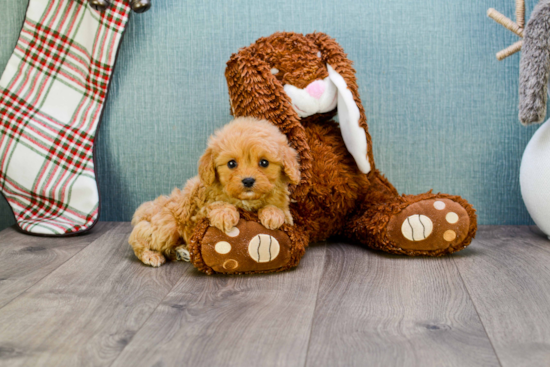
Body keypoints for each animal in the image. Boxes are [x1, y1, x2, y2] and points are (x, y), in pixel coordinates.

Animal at [128, 117, 302, 268]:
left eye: (264, 163)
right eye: (231, 164)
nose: (248, 181)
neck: (247, 201)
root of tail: (146, 210)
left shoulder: (287, 213)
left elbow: (278, 209)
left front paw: (272, 214)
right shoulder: (201, 210)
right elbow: (216, 204)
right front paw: (225, 214)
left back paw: (182, 251)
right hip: (167, 225)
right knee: (137, 239)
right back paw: (151, 255)